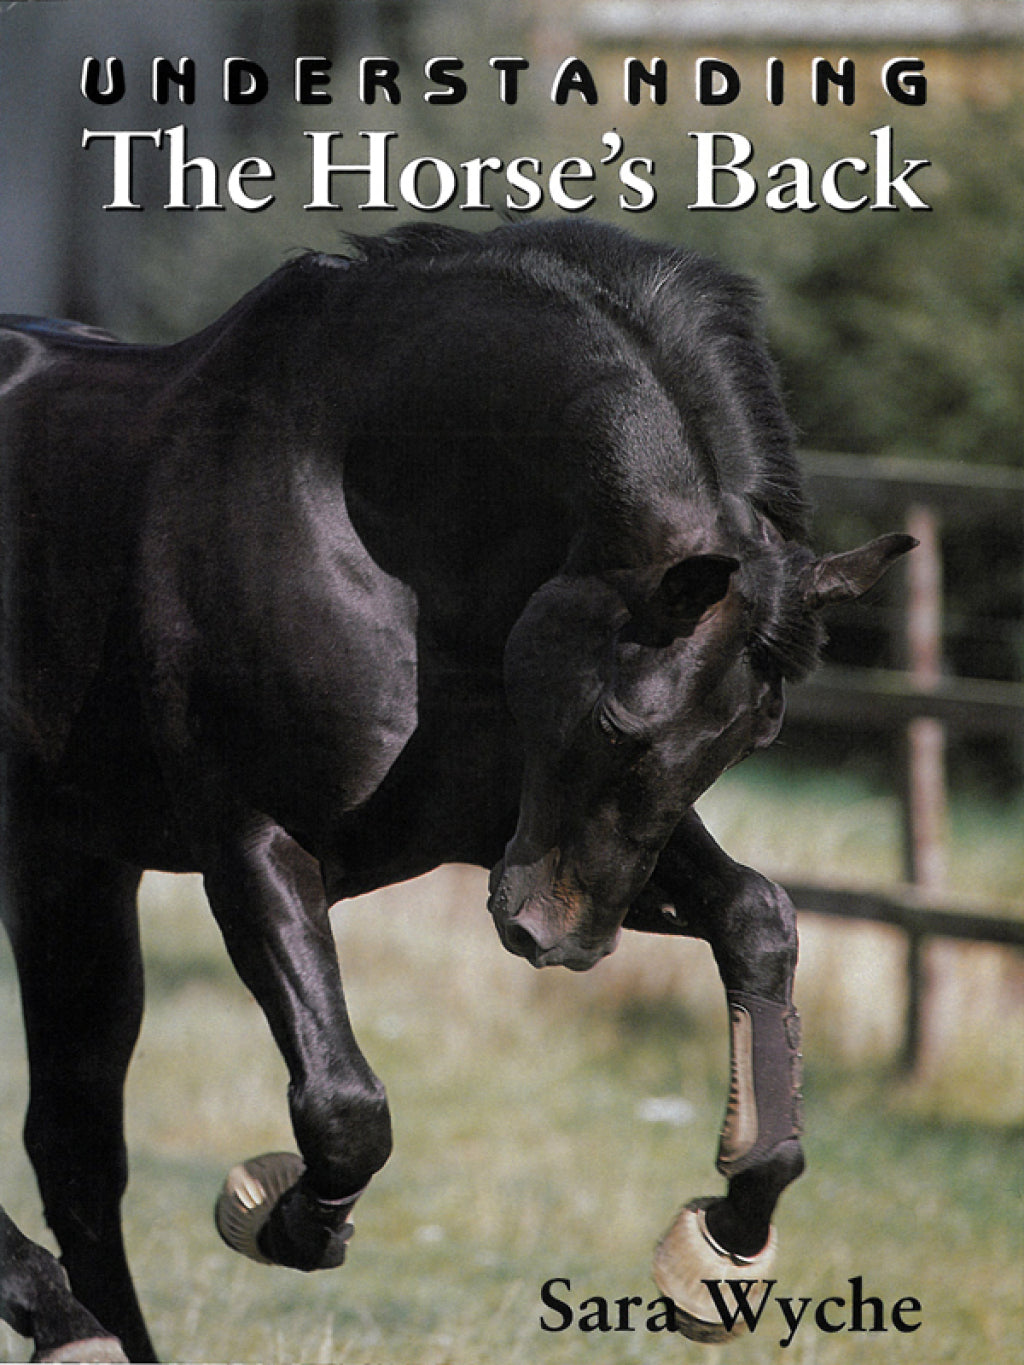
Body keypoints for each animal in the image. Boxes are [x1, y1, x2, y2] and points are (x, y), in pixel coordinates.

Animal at [0, 221, 913, 1359]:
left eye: (753, 740)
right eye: (619, 722)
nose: (554, 941)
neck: (361, 508)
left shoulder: (500, 835)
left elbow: (758, 912)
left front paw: (726, 1235)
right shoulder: (251, 841)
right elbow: (346, 1108)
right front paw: (283, 1216)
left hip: (70, 867)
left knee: (75, 1144)